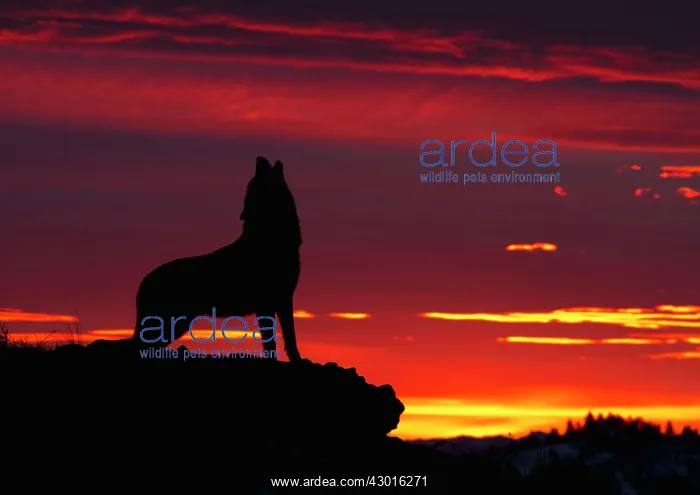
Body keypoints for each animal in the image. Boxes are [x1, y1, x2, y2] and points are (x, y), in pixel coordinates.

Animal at [131, 156, 303, 362]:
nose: (259, 158)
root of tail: (143, 282)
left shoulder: (284, 299)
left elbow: (290, 336)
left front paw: (297, 360)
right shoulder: (267, 304)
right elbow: (272, 341)